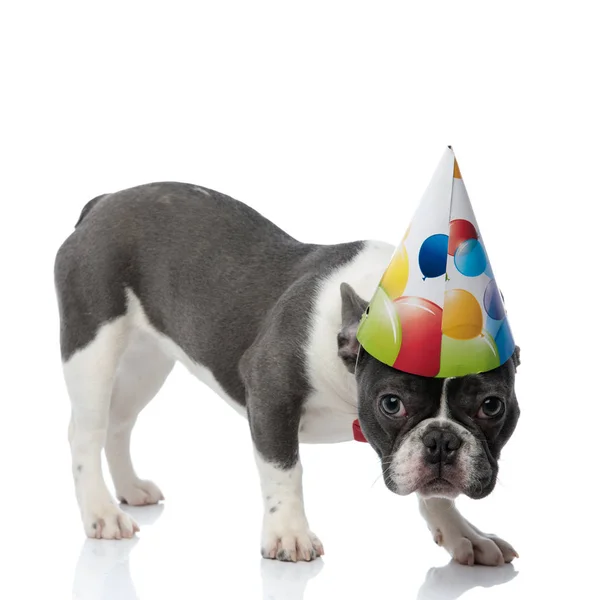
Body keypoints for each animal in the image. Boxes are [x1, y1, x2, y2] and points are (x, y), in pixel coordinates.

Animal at [54, 180, 516, 564]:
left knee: (119, 424)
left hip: (144, 364)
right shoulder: (270, 393)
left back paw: (129, 489)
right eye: (392, 403)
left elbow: (435, 493)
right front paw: (289, 534)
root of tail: (102, 204)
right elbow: (284, 469)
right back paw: (100, 511)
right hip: (93, 349)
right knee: (86, 432)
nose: (442, 442)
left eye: (492, 406)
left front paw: (462, 534)